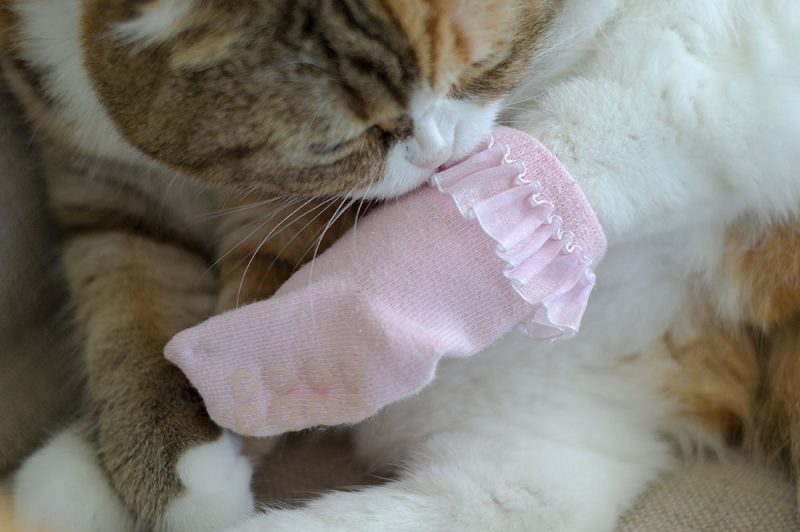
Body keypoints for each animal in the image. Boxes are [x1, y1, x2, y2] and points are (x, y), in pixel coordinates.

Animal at [4, 0, 800, 528]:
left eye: (483, 68)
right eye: (336, 139)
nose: (437, 151)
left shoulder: (307, 218)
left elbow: (264, 281)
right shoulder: (106, 199)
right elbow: (124, 317)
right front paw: (160, 455)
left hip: (702, 61)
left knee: (600, 142)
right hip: (548, 436)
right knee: (505, 499)